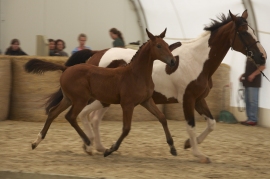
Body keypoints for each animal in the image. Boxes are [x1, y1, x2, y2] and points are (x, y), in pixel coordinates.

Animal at [25, 28, 177, 157]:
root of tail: (66, 68)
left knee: (53, 112)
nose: (173, 61)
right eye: (158, 46)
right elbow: (126, 128)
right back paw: (87, 142)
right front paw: (110, 150)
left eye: (167, 45)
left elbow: (162, 118)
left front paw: (172, 148)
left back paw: (36, 142)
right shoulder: (127, 104)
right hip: (80, 100)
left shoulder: (146, 101)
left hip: (68, 99)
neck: (136, 74)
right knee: (71, 116)